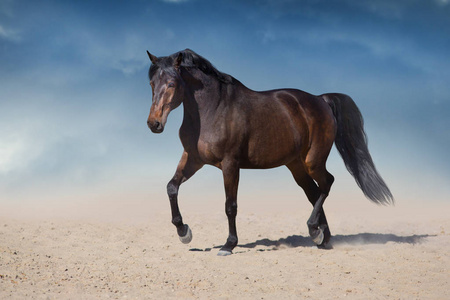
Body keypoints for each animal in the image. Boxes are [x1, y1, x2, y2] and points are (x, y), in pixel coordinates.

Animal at [146, 48, 392, 255]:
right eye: (151, 83)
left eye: (172, 83)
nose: (154, 124)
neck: (212, 109)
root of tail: (320, 100)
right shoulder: (193, 159)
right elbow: (171, 187)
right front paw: (184, 232)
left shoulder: (230, 164)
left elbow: (230, 206)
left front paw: (228, 245)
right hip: (296, 165)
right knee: (314, 192)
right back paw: (322, 237)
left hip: (313, 161)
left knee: (327, 183)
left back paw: (314, 230)